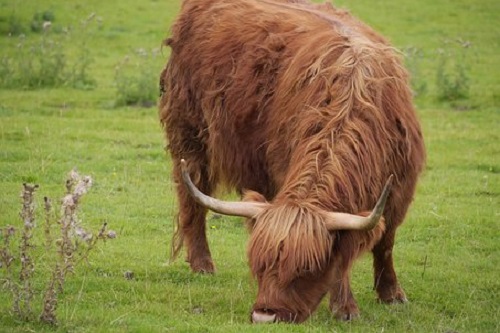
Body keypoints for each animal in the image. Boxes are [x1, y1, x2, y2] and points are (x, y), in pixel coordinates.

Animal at [158, 0, 424, 322]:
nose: (265, 316)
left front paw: (390, 296)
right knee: (192, 199)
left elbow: (384, 243)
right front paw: (346, 306)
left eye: (306, 269)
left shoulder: (400, 189)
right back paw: (203, 265)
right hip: (190, 135)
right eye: (259, 265)